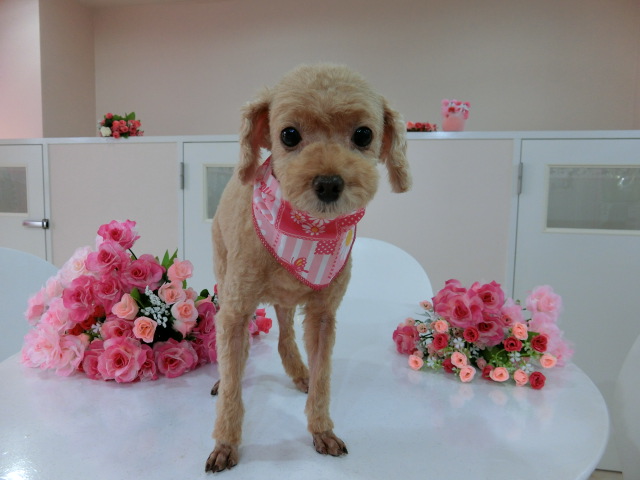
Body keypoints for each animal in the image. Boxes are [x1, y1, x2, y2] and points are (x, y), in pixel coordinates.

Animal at [206, 63, 411, 473]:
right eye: (289, 134)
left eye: (363, 134)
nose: (329, 183)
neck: (307, 232)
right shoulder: (235, 310)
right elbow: (233, 379)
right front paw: (226, 442)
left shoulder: (323, 313)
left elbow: (323, 377)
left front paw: (322, 430)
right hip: (224, 270)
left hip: (285, 300)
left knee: (285, 335)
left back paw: (298, 371)